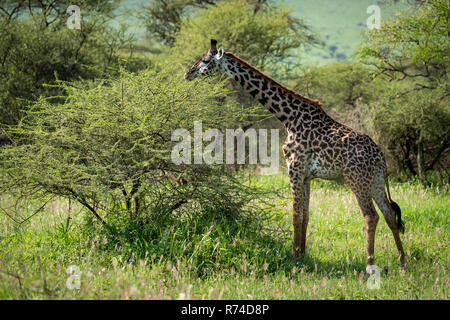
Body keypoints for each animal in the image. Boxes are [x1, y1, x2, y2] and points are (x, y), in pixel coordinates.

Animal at [183, 38, 408, 272]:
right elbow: (306, 215)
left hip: (356, 179)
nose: (187, 73)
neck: (288, 117)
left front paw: (294, 257)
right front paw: (302, 254)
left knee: (370, 216)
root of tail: (379, 154)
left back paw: (370, 265)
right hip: (376, 179)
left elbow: (295, 215)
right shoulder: (307, 175)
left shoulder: (294, 169)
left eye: (205, 60)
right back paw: (403, 262)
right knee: (389, 214)